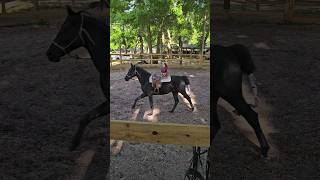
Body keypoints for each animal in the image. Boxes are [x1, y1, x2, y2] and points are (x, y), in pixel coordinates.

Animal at [45, 6, 109, 150]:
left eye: (65, 29)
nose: (49, 53)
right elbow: (85, 117)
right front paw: (74, 142)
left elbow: (87, 117)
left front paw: (74, 142)